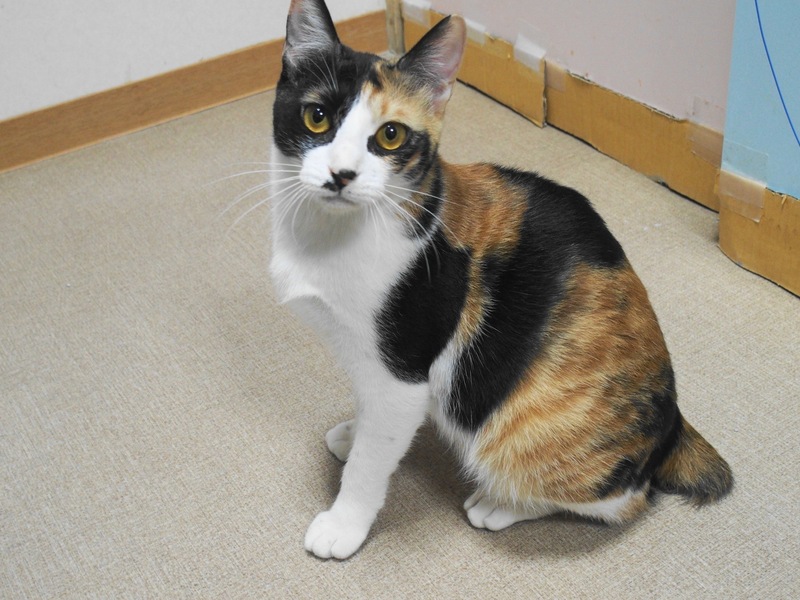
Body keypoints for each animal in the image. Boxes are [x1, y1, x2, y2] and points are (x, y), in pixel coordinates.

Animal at [268, 0, 733, 560]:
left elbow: (371, 459)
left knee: (619, 499)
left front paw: (344, 523)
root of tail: (673, 426)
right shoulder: (368, 361)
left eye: (390, 135)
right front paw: (356, 432)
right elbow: (370, 414)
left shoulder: (403, 368)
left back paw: (500, 503)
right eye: (317, 116)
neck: (329, 238)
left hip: (525, 434)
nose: (341, 174)